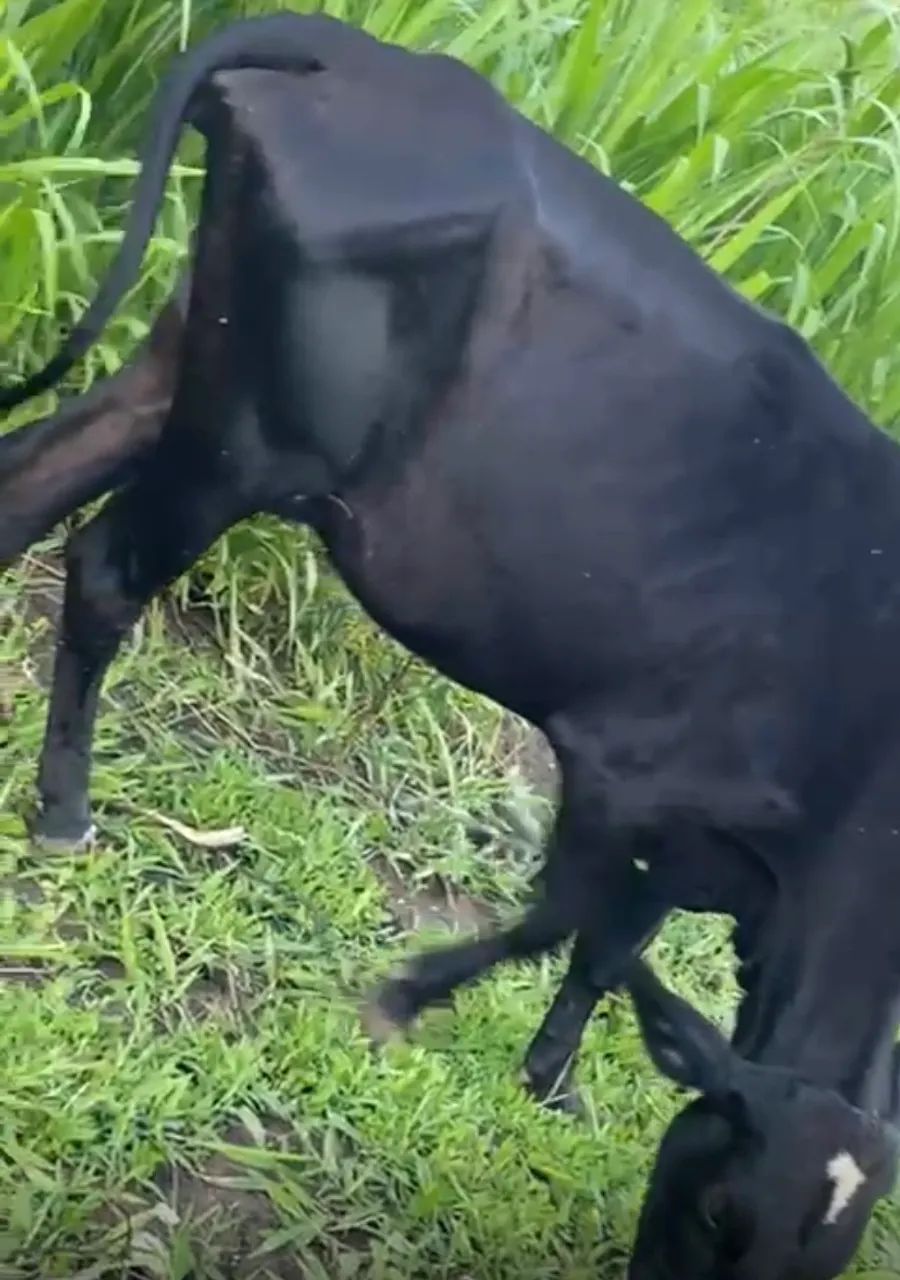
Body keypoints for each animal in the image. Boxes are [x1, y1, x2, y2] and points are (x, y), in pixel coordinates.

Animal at [2, 13, 899, 1278]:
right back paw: (65, 810)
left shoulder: (692, 842)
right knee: (102, 569)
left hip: (180, 362)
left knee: (21, 483)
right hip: (246, 440)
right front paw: (409, 994)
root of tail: (365, 57)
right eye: (719, 1210)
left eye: (822, 1257)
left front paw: (550, 1077)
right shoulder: (624, 772)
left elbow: (608, 949)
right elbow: (558, 916)